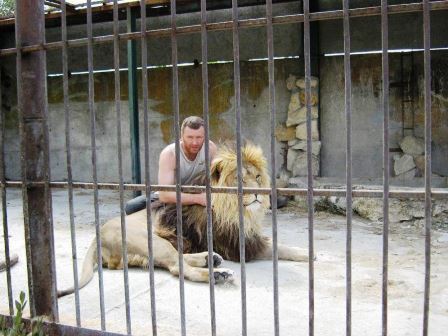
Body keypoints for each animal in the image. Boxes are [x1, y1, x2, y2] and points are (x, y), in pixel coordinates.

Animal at [57, 142, 308, 296]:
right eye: (240, 179)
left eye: (257, 177)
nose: (259, 193)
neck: (234, 209)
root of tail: (97, 236)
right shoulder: (238, 244)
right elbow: (277, 246)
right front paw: (307, 253)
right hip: (151, 241)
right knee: (177, 267)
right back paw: (217, 274)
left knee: (177, 258)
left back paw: (210, 259)